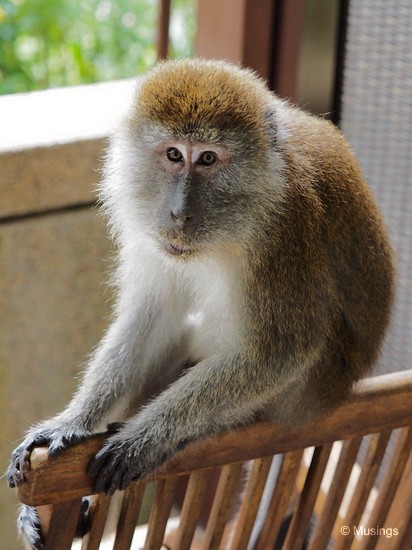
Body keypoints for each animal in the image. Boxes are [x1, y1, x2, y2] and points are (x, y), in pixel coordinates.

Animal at [5, 58, 392, 548]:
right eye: (174, 155)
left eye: (207, 158)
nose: (179, 213)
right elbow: (152, 317)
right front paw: (73, 422)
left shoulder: (285, 230)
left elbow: (280, 353)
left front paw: (144, 440)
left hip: (304, 389)